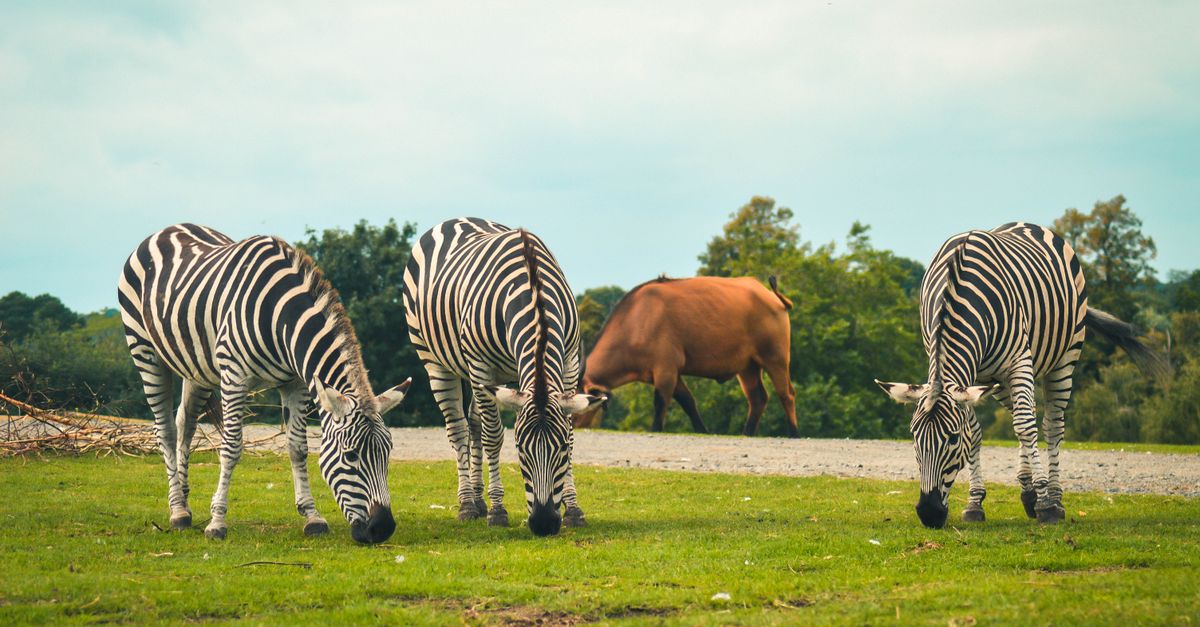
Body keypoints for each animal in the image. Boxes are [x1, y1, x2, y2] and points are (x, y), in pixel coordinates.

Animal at [118, 223, 411, 543]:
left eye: (388, 452)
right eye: (351, 455)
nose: (382, 528)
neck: (281, 317)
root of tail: (169, 228)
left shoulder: (296, 383)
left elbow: (298, 447)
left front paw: (312, 516)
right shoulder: (234, 375)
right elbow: (231, 447)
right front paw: (217, 522)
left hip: (198, 367)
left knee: (185, 424)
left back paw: (183, 500)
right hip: (146, 351)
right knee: (167, 430)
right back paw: (177, 512)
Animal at [402, 218, 603, 537]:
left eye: (559, 449)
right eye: (520, 450)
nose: (544, 524)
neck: (532, 291)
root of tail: (455, 219)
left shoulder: (569, 361)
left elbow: (571, 432)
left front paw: (573, 509)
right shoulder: (481, 365)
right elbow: (494, 436)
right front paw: (498, 510)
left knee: (473, 424)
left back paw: (477, 498)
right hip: (437, 361)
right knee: (458, 429)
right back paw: (467, 504)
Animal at [875, 222, 1165, 528]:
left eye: (952, 439)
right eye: (914, 436)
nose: (928, 513)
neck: (957, 292)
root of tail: (1028, 225)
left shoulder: (1017, 361)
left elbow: (1026, 427)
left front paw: (1046, 504)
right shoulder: (969, 376)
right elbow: (979, 432)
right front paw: (975, 503)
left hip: (1063, 357)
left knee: (1049, 425)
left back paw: (1053, 497)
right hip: (998, 379)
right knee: (1021, 413)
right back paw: (1028, 492)